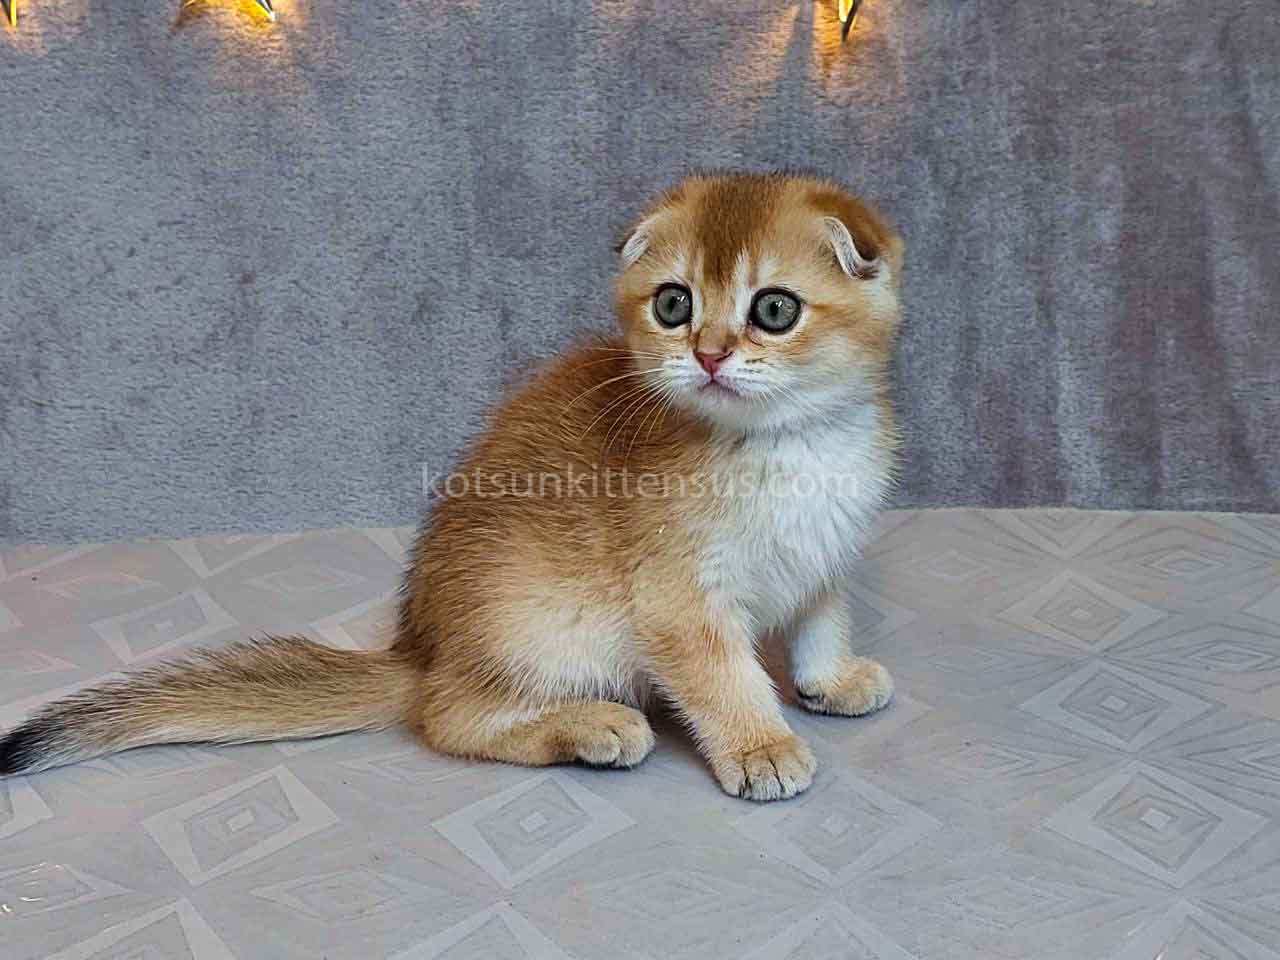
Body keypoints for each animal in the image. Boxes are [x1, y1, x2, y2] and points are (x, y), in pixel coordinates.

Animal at [0, 171, 904, 802]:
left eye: (774, 309)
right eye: (674, 304)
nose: (710, 354)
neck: (789, 443)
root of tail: (421, 653)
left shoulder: (829, 550)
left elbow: (821, 618)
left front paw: (829, 678)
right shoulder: (678, 600)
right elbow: (723, 678)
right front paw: (760, 745)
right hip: (546, 623)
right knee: (447, 718)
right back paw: (587, 727)